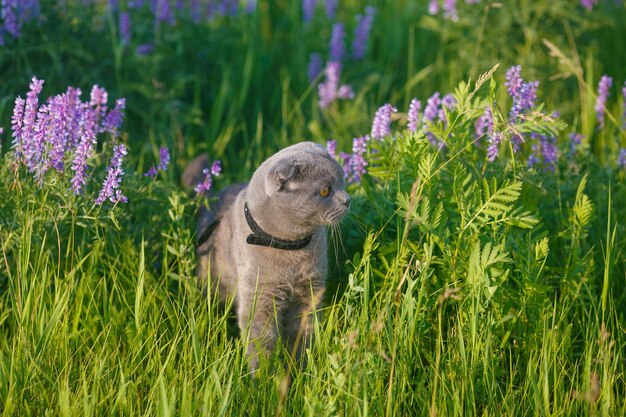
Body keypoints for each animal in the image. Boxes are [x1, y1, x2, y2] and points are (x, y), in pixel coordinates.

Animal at [184, 141, 352, 368]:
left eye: (342, 180)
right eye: (325, 191)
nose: (347, 200)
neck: (291, 248)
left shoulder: (309, 291)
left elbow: (302, 333)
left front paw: (300, 368)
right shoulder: (259, 296)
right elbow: (260, 342)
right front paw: (260, 375)